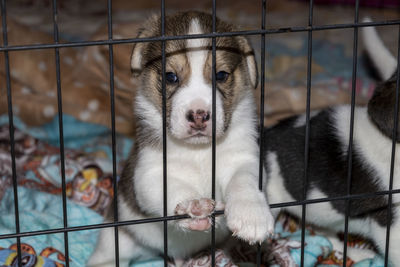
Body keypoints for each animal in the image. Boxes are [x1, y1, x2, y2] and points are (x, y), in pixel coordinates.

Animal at [87, 11, 276, 267]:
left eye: (221, 75)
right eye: (170, 77)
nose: (198, 116)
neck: (199, 151)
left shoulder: (244, 158)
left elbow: (244, 181)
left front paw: (252, 215)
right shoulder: (149, 173)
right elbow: (171, 188)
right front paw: (193, 207)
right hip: (117, 235)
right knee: (105, 254)